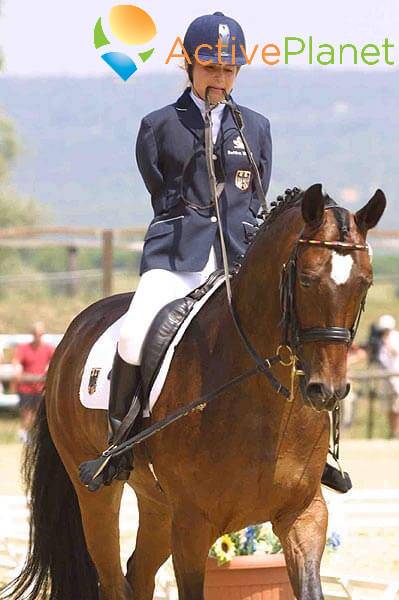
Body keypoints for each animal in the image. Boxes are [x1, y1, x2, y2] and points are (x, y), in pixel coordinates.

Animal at [1, 184, 386, 600]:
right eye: (307, 280)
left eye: (365, 282)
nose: (327, 390)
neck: (264, 400)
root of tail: (73, 333)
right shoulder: (192, 524)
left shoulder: (304, 514)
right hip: (97, 495)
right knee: (112, 578)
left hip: (157, 505)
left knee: (138, 573)